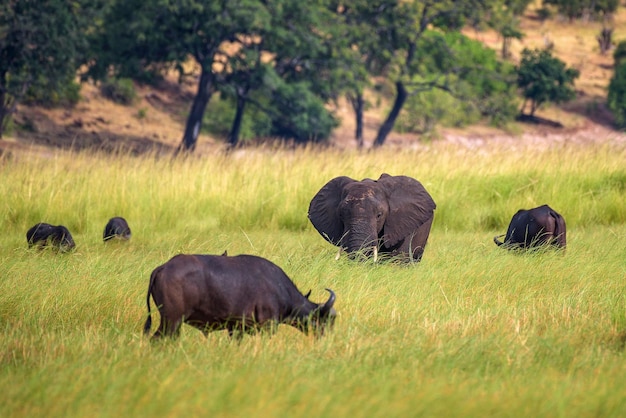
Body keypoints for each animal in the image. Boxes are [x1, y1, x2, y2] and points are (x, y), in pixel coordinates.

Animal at [143, 255, 336, 340]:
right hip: (171, 321)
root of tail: (164, 267)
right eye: (324, 319)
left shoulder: (236, 329)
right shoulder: (268, 326)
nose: (324, 339)